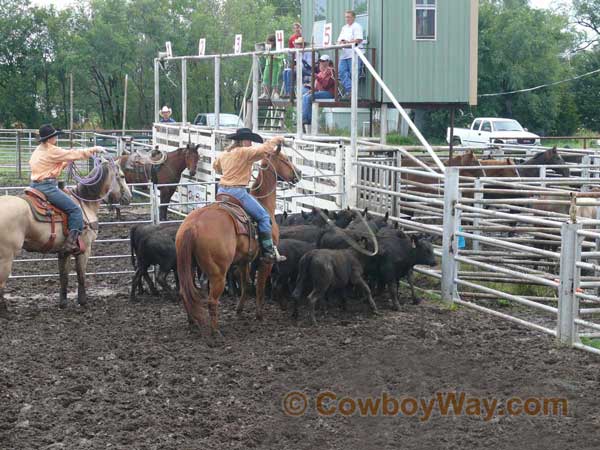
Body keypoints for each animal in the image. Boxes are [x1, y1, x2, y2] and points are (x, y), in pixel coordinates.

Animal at [0, 160, 131, 318]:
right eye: (122, 176)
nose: (129, 197)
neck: (85, 204)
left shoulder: (64, 252)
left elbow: (64, 277)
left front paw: (63, 303)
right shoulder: (84, 250)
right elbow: (81, 275)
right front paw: (82, 301)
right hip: (6, 257)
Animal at [176, 147, 302, 342]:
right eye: (285, 159)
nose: (299, 173)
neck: (264, 204)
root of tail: (193, 225)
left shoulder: (244, 260)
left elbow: (245, 285)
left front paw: (239, 310)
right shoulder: (265, 262)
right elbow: (259, 288)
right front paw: (259, 315)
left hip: (188, 266)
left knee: (185, 292)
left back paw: (193, 322)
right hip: (218, 273)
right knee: (212, 301)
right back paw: (215, 332)